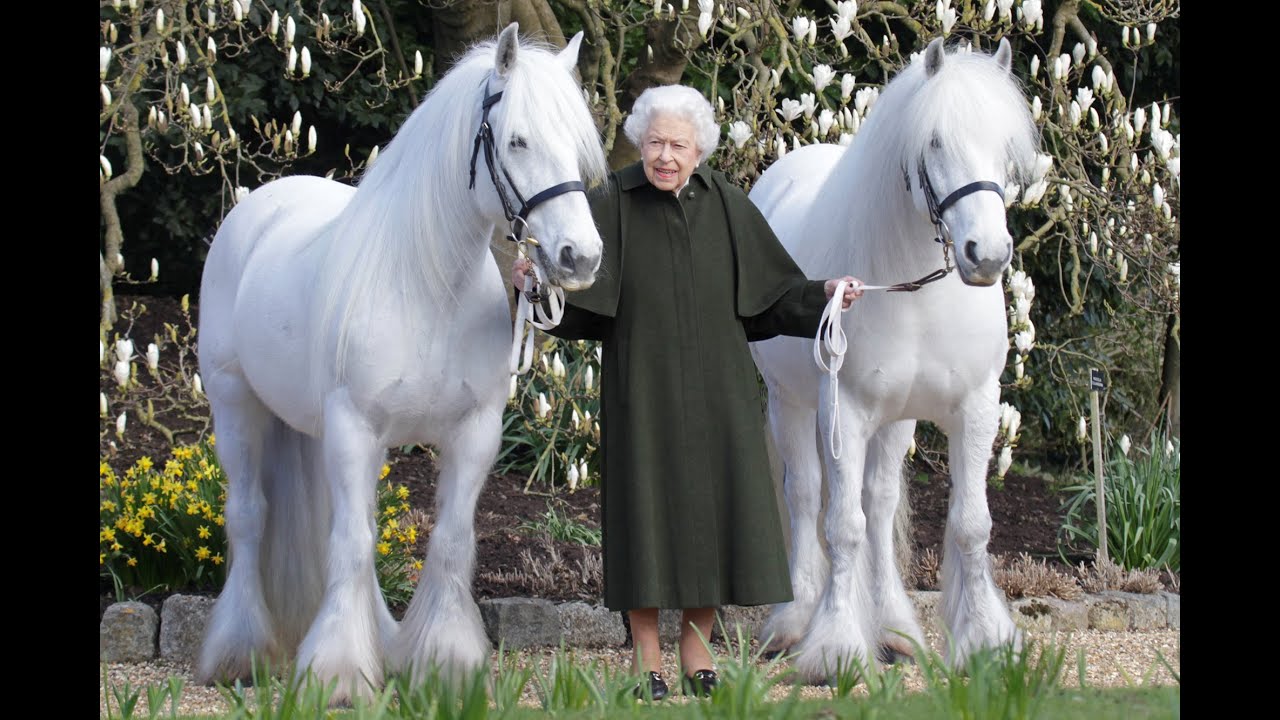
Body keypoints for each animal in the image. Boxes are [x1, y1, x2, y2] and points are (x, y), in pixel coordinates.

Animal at [192, 23, 606, 702]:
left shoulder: (473, 434)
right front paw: (336, 674)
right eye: (517, 140)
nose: (581, 256)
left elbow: (449, 542)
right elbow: (353, 545)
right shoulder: (354, 427)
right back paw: (240, 652)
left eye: (575, 146)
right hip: (237, 406)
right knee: (250, 517)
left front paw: (445, 664)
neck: (426, 287)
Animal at [747, 37, 1039, 676]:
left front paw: (985, 639)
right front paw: (834, 646)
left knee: (879, 505)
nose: (987, 254)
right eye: (934, 142)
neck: (916, 292)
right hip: (791, 405)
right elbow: (841, 526)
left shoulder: (975, 408)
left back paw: (895, 629)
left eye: (1005, 146)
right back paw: (793, 620)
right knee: (805, 496)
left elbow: (969, 524)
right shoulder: (846, 413)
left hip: (896, 420)